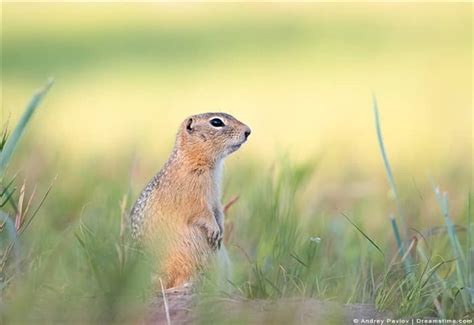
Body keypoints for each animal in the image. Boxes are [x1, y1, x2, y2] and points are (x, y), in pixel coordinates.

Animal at [128, 112, 250, 288]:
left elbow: (218, 209)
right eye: (216, 122)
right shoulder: (192, 195)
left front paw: (221, 229)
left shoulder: (215, 195)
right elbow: (200, 211)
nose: (248, 131)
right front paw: (214, 229)